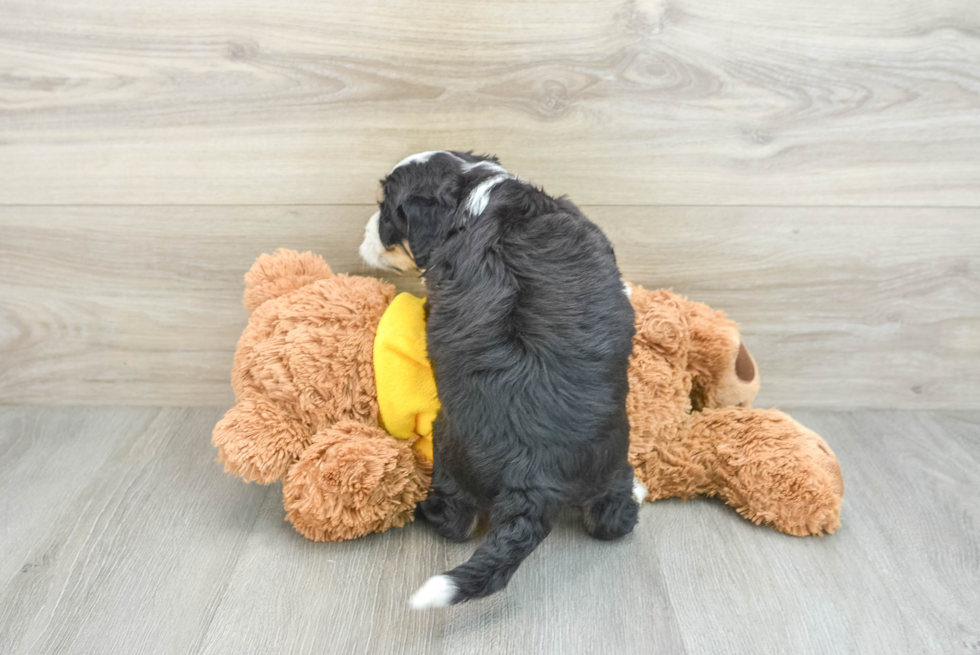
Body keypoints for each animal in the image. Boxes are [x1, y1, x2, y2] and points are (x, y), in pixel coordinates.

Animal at [360, 151, 644, 608]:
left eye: (386, 214)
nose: (367, 231)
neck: (472, 194)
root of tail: (535, 481)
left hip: (451, 449)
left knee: (457, 521)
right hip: (610, 457)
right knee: (612, 518)